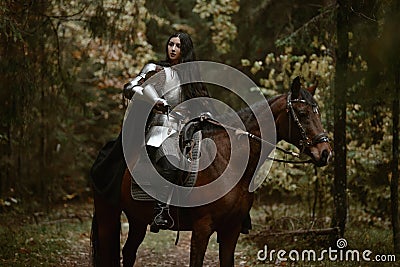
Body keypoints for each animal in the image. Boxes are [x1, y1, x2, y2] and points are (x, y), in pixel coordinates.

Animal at [90, 77, 332, 267]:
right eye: (302, 113)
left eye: (318, 112)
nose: (325, 152)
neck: (230, 161)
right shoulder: (202, 229)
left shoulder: (231, 230)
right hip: (107, 215)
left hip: (137, 220)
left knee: (128, 252)